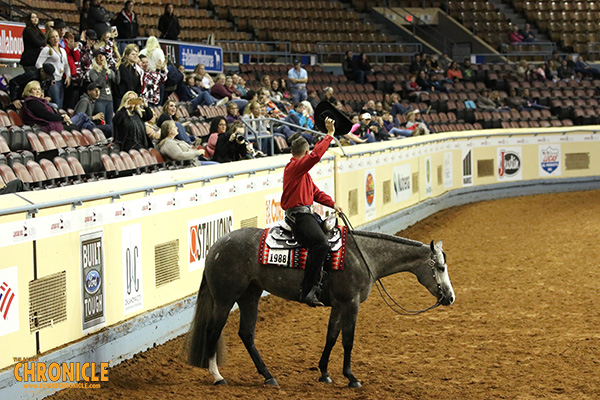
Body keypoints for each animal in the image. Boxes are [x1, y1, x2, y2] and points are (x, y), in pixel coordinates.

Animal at [188, 228, 454, 388]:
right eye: (440, 267)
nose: (450, 298)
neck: (363, 256)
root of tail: (216, 246)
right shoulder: (350, 304)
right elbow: (348, 340)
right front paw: (351, 378)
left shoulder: (338, 305)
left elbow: (331, 337)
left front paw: (325, 373)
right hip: (225, 299)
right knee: (213, 331)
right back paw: (218, 376)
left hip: (249, 296)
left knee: (246, 333)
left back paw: (268, 376)